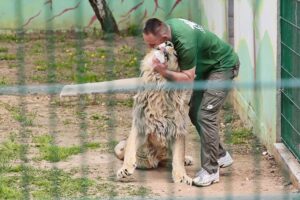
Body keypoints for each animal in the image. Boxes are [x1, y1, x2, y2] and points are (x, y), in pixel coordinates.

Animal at [115, 41, 192, 185]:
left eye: (175, 54)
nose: (168, 42)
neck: (159, 81)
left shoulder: (177, 128)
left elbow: (178, 157)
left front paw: (182, 177)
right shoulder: (140, 125)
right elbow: (130, 150)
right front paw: (125, 170)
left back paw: (186, 159)